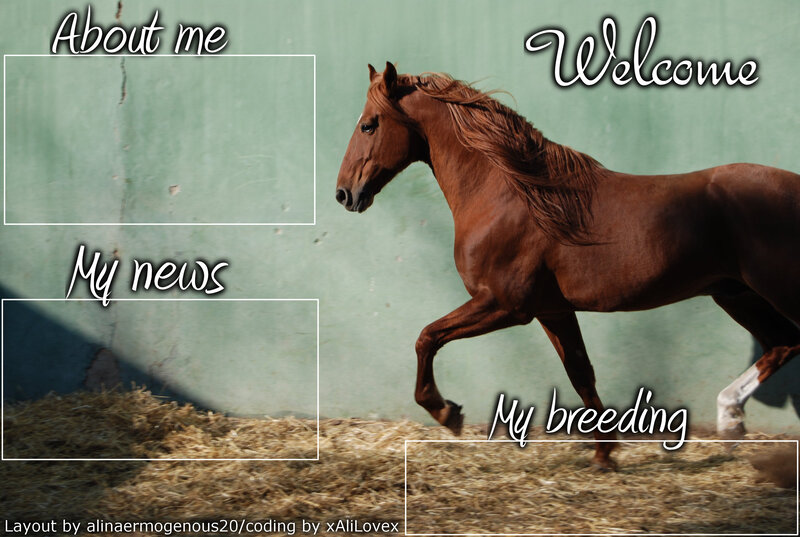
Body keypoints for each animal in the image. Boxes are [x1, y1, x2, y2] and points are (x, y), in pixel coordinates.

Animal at [335, 62, 800, 469]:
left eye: (369, 124)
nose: (344, 193)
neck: (510, 195)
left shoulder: (504, 306)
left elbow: (427, 337)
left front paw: (446, 412)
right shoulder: (552, 310)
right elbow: (581, 373)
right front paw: (604, 455)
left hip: (773, 291)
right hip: (737, 295)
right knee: (782, 344)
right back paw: (731, 422)